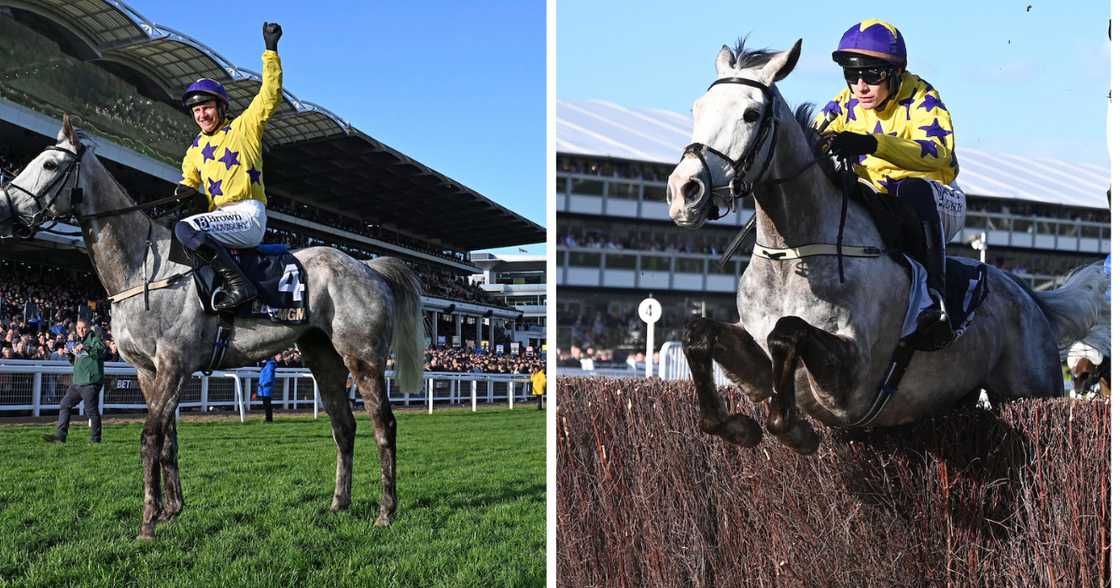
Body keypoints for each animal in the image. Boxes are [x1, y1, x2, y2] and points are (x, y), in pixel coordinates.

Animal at [0, 116, 425, 539]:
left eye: (50, 165)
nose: (4, 207)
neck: (144, 266)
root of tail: (370, 267)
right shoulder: (147, 370)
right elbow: (168, 440)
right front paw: (171, 510)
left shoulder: (175, 364)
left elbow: (150, 438)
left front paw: (148, 522)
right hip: (322, 357)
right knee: (343, 426)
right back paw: (339, 504)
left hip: (363, 357)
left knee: (384, 425)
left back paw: (386, 511)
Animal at [665, 40, 1108, 454]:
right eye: (697, 108)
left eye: (751, 114)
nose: (684, 191)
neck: (792, 254)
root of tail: (1031, 299)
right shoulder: (759, 366)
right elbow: (698, 332)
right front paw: (735, 425)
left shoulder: (853, 384)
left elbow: (787, 332)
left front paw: (794, 431)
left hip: (1033, 387)